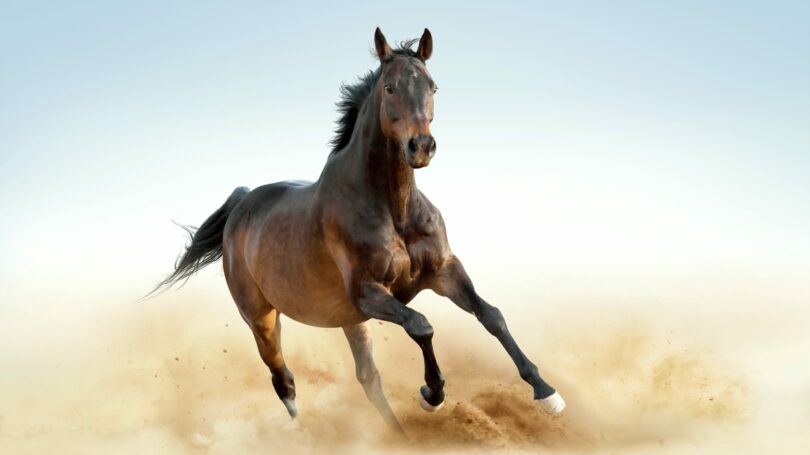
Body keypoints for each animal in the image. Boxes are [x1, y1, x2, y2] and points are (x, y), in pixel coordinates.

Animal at [153, 27, 565, 435]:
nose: (421, 147)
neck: (393, 210)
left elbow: (491, 315)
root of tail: (241, 203)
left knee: (368, 379)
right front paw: (431, 394)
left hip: (348, 319)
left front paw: (546, 393)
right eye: (390, 87)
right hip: (262, 319)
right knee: (284, 380)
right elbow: (421, 326)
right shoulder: (369, 292)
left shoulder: (442, 271)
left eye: (433, 86)